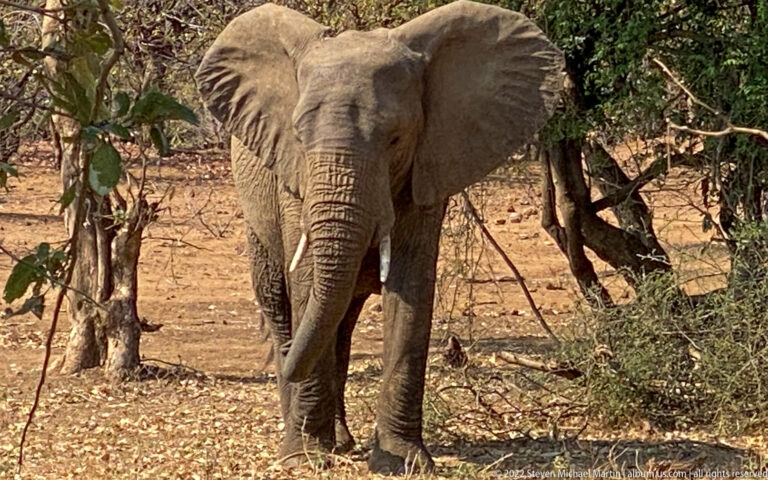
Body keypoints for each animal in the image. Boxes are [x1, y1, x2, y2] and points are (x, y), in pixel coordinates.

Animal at [196, 0, 563, 473]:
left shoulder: (429, 169)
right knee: (283, 305)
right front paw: (304, 460)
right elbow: (306, 282)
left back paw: (337, 437)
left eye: (395, 138)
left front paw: (402, 460)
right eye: (298, 136)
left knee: (339, 323)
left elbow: (411, 292)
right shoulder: (292, 181)